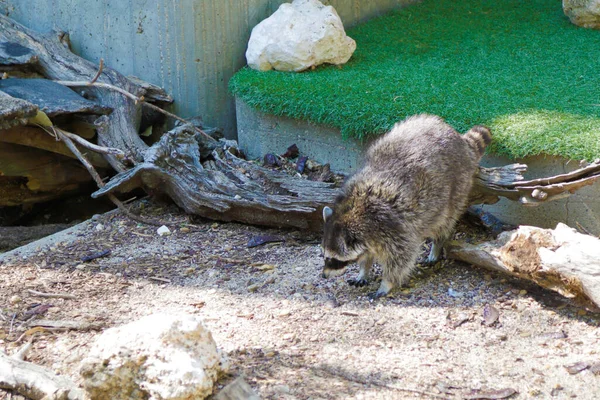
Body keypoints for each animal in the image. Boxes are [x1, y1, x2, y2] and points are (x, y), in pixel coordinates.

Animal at [322, 114, 490, 298]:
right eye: (325, 256)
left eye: (334, 259)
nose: (323, 275)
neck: (350, 210)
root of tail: (459, 140)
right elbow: (367, 255)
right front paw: (363, 271)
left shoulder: (393, 229)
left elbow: (401, 259)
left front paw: (386, 283)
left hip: (458, 187)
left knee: (443, 224)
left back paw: (437, 246)